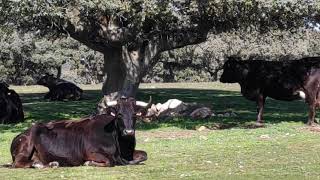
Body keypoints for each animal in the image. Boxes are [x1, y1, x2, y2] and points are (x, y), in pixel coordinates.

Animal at [9, 96, 151, 168]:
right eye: (119, 115)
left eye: (135, 114)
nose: (129, 132)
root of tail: (20, 135)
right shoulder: (91, 152)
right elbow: (109, 161)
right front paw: (89, 163)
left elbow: (144, 155)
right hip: (27, 144)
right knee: (18, 163)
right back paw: (39, 164)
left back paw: (51, 163)